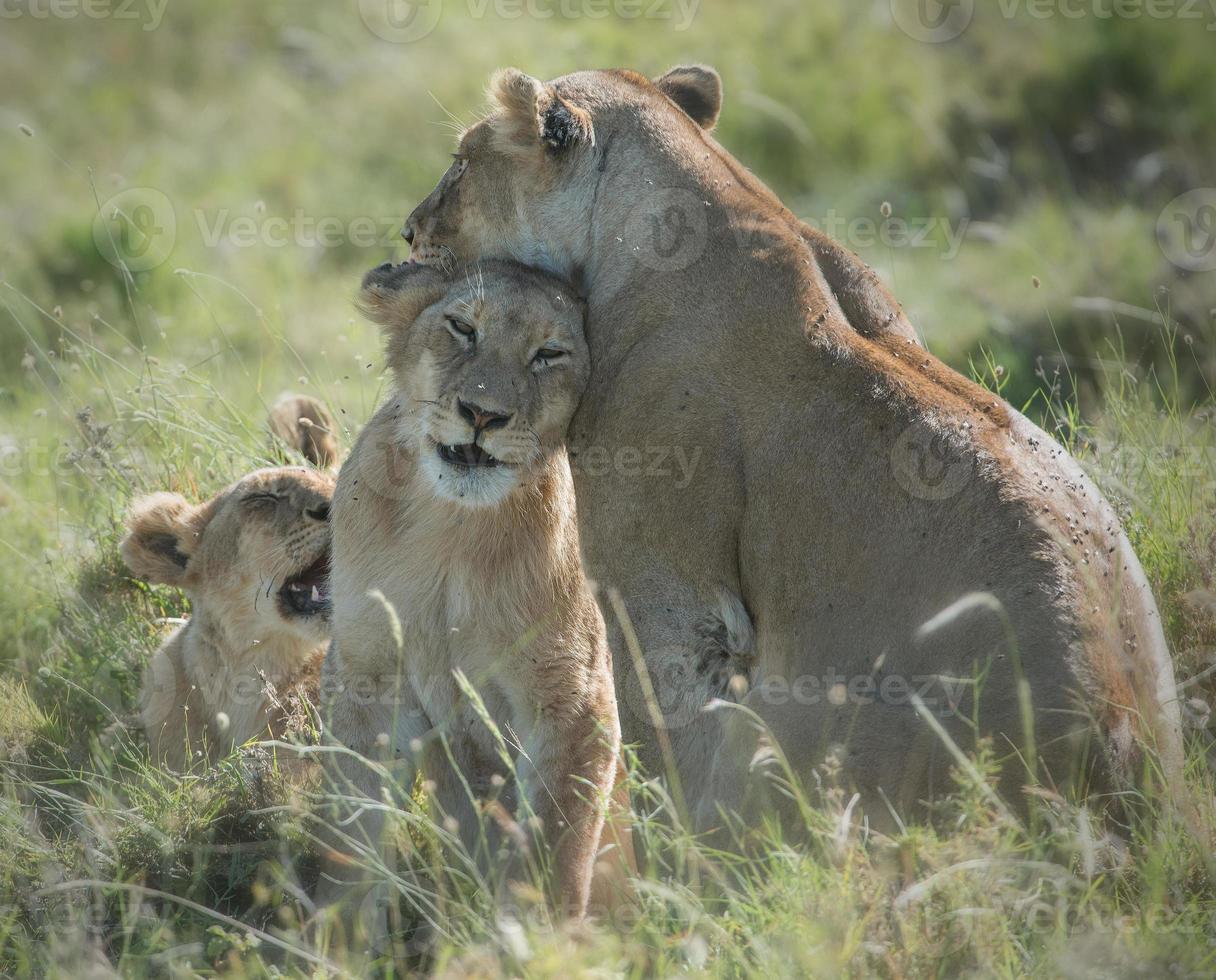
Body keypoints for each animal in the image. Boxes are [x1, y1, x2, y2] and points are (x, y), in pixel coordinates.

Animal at [318, 261, 632, 943]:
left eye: (549, 354)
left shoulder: (573, 697)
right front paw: (335, 943)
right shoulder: (367, 672)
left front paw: (536, 945)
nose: (482, 414)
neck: (452, 531)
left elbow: (555, 849)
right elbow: (349, 833)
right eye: (462, 327)